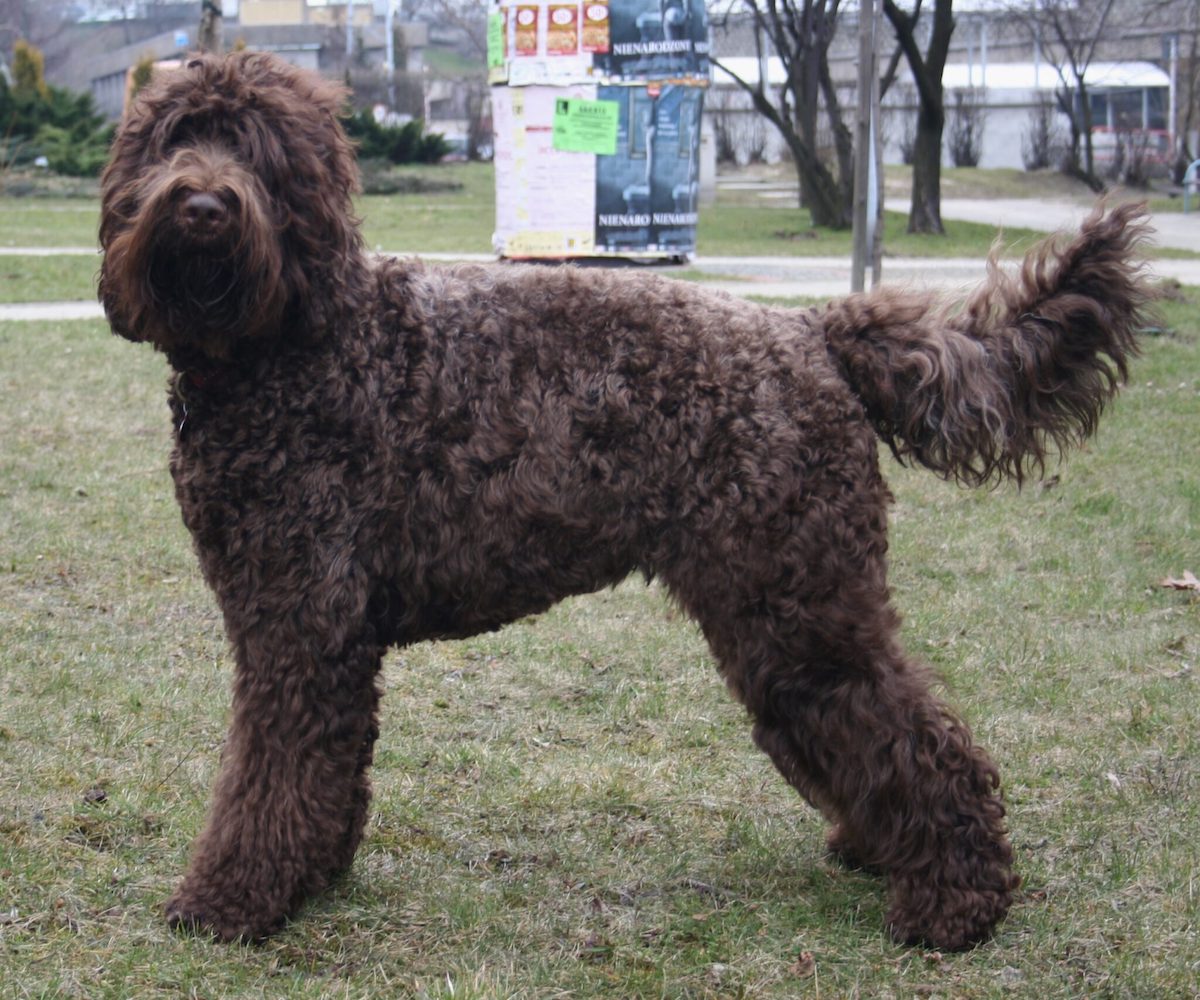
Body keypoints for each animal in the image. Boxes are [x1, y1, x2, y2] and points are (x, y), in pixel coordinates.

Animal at [100, 50, 1152, 945]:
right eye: (172, 140)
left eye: (258, 150)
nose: (202, 205)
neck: (290, 345)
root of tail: (814, 336)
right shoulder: (319, 631)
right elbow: (325, 767)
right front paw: (313, 879)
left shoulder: (299, 622)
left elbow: (270, 772)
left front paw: (231, 900)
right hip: (792, 603)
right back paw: (882, 851)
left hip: (794, 605)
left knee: (906, 730)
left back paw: (953, 904)